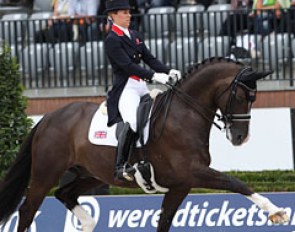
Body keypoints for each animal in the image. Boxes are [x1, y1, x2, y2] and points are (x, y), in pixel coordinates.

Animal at [0, 57, 290, 230]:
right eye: (241, 96)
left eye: (254, 98)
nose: (240, 138)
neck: (184, 114)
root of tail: (48, 118)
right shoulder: (194, 172)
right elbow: (236, 183)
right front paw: (277, 212)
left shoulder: (181, 185)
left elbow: (164, 221)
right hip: (46, 172)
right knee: (27, 209)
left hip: (91, 173)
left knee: (65, 194)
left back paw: (89, 223)